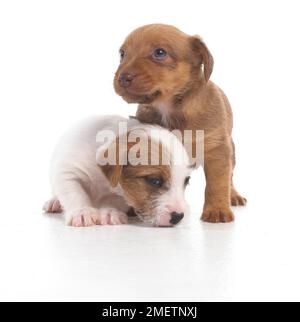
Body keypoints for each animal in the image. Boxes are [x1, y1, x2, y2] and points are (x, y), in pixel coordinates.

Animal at [42, 115, 192, 226]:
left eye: (186, 182)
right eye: (154, 180)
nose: (178, 216)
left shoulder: (123, 194)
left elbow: (114, 200)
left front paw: (110, 212)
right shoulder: (68, 172)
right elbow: (75, 193)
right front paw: (82, 212)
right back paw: (54, 202)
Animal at [113, 23, 247, 223]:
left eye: (160, 53)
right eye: (122, 54)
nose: (122, 78)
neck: (170, 109)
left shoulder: (217, 152)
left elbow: (217, 183)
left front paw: (217, 210)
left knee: (229, 177)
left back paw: (233, 196)